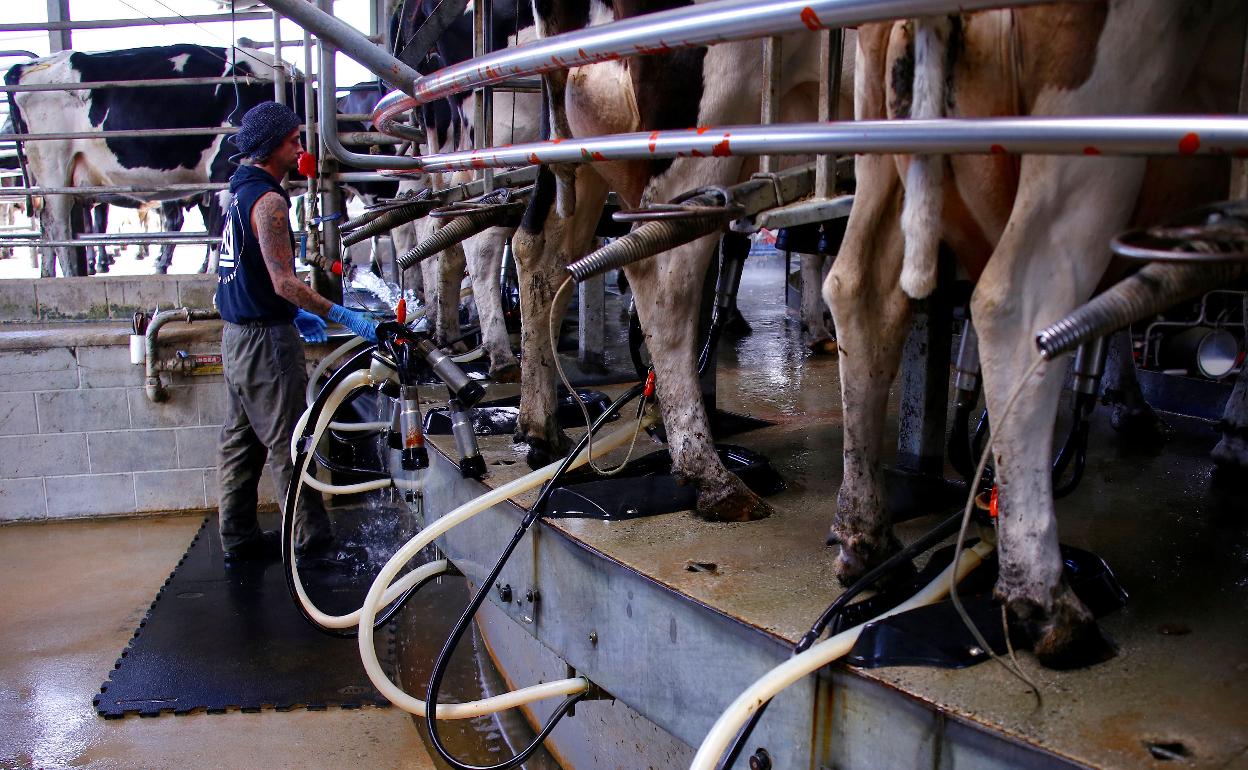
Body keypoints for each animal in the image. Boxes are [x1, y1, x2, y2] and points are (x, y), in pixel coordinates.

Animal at [823, 0, 1243, 663]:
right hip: (1096, 121)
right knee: (1015, 303)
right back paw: (1047, 602)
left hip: (879, 147)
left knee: (859, 289)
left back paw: (868, 541)